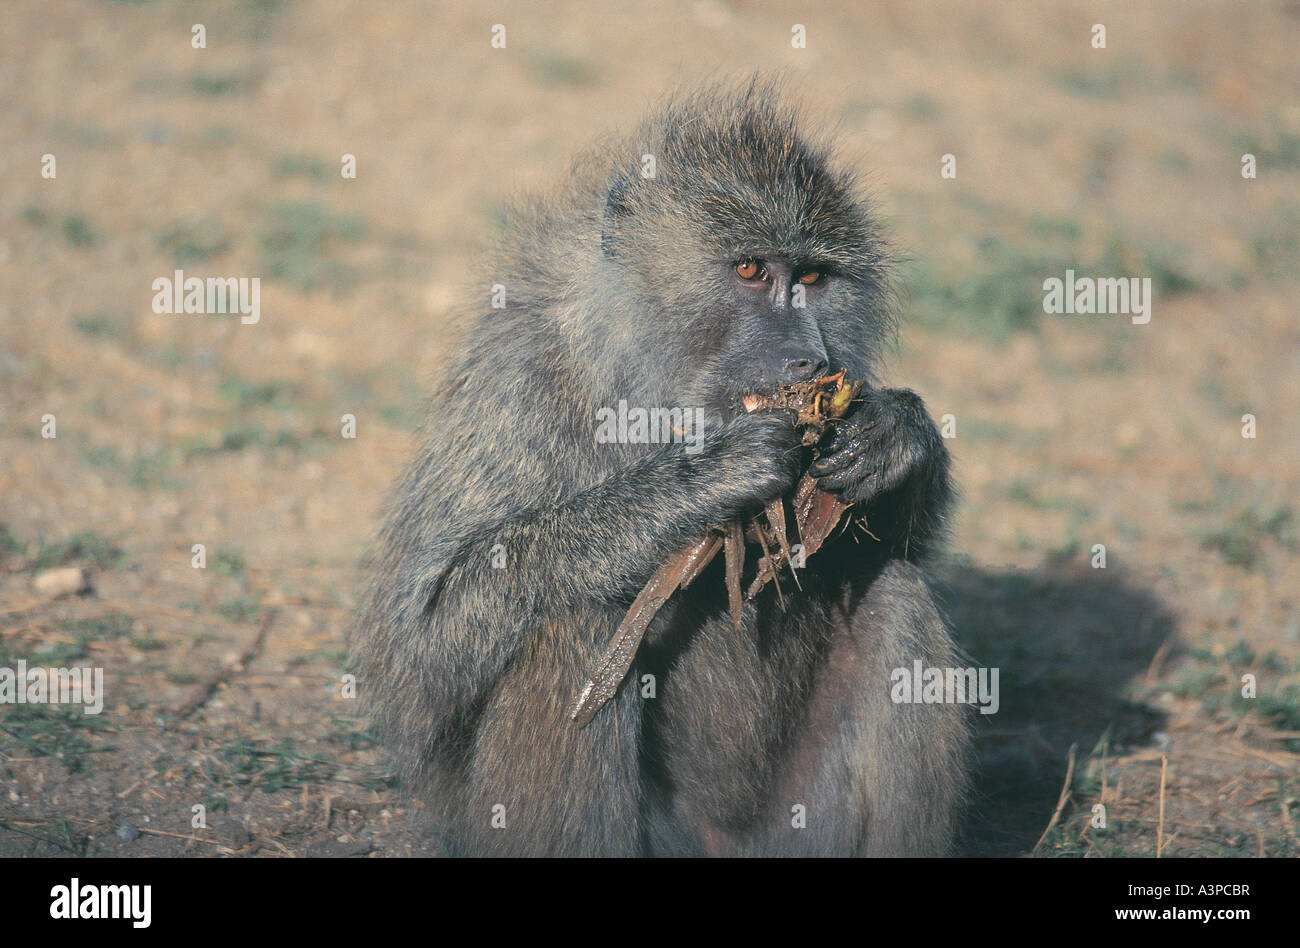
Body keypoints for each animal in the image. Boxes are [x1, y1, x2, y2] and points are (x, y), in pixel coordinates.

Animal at [352, 78, 970, 857]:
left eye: (813, 276)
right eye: (749, 270)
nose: (807, 361)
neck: (653, 389)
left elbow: (891, 544)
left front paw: (895, 435)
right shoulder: (518, 379)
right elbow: (421, 652)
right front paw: (700, 479)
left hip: (801, 824)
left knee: (895, 591)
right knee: (574, 623)